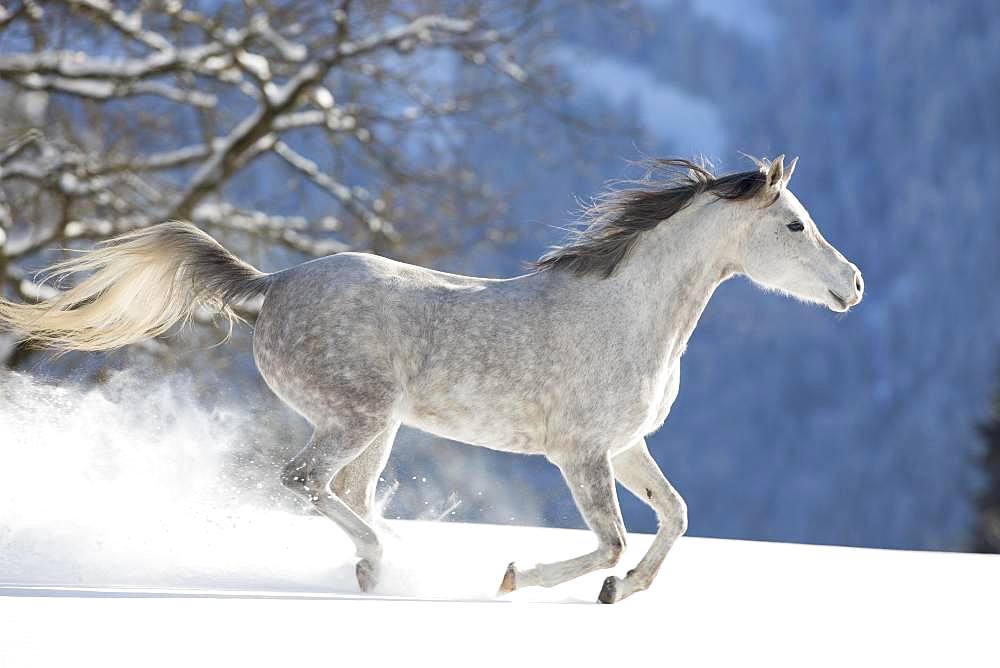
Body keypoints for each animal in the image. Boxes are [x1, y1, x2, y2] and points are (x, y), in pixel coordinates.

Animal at [0, 158, 860, 604]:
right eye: (795, 225)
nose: (852, 286)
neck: (629, 315)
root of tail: (272, 285)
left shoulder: (624, 448)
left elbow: (676, 516)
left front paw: (624, 593)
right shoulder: (581, 456)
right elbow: (610, 540)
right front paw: (516, 578)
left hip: (376, 429)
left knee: (344, 493)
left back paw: (371, 569)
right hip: (354, 416)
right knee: (305, 482)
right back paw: (384, 559)